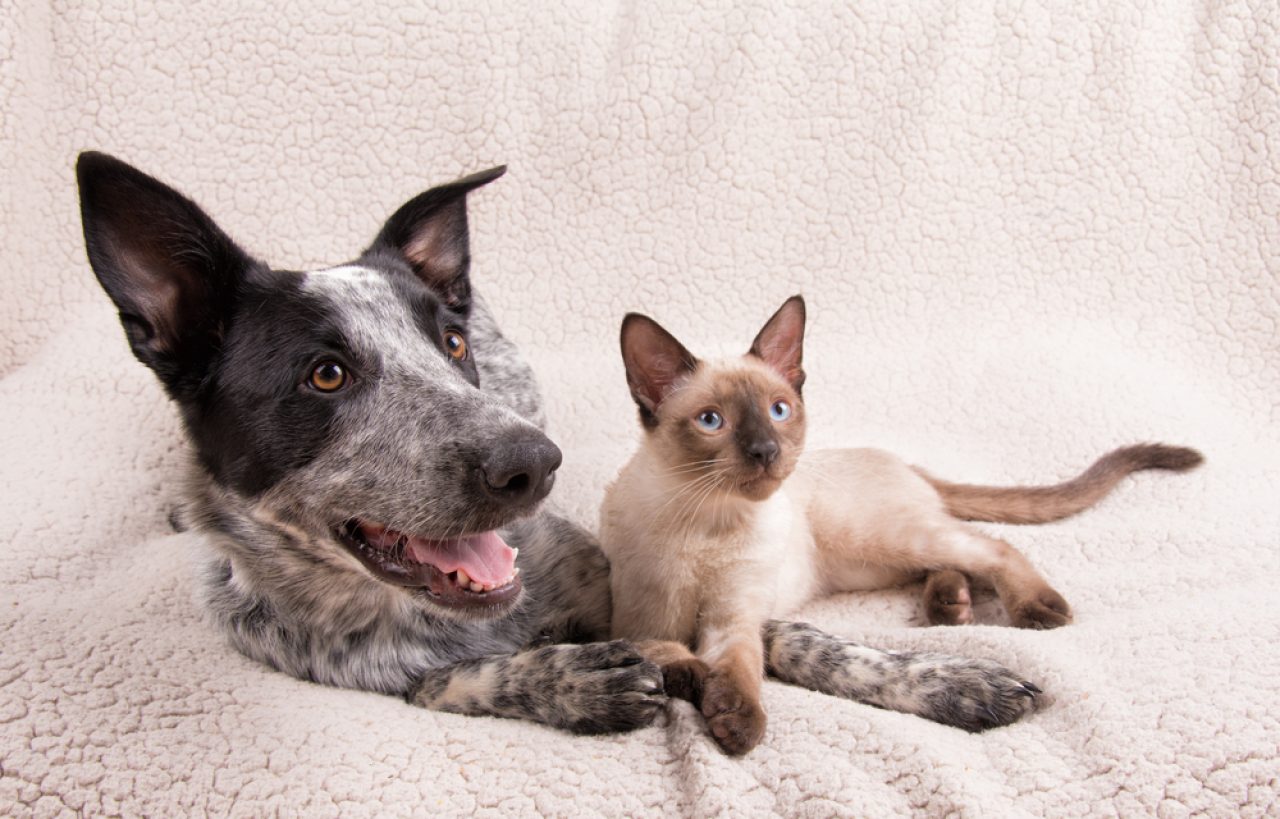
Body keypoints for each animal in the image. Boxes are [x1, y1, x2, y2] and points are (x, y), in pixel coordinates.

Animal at [74, 152, 1044, 737]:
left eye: (450, 345)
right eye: (325, 375)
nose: (534, 464)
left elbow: (800, 638)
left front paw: (948, 678)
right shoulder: (371, 677)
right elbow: (466, 680)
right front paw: (574, 680)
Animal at [599, 294, 1198, 757]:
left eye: (778, 411)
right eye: (711, 421)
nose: (766, 451)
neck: (705, 521)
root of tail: (905, 463)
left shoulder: (735, 617)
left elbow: (738, 670)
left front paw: (738, 726)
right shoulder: (635, 622)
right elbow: (668, 655)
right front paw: (695, 685)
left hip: (881, 540)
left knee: (989, 546)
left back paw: (1034, 609)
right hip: (868, 564)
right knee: (950, 562)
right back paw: (950, 606)